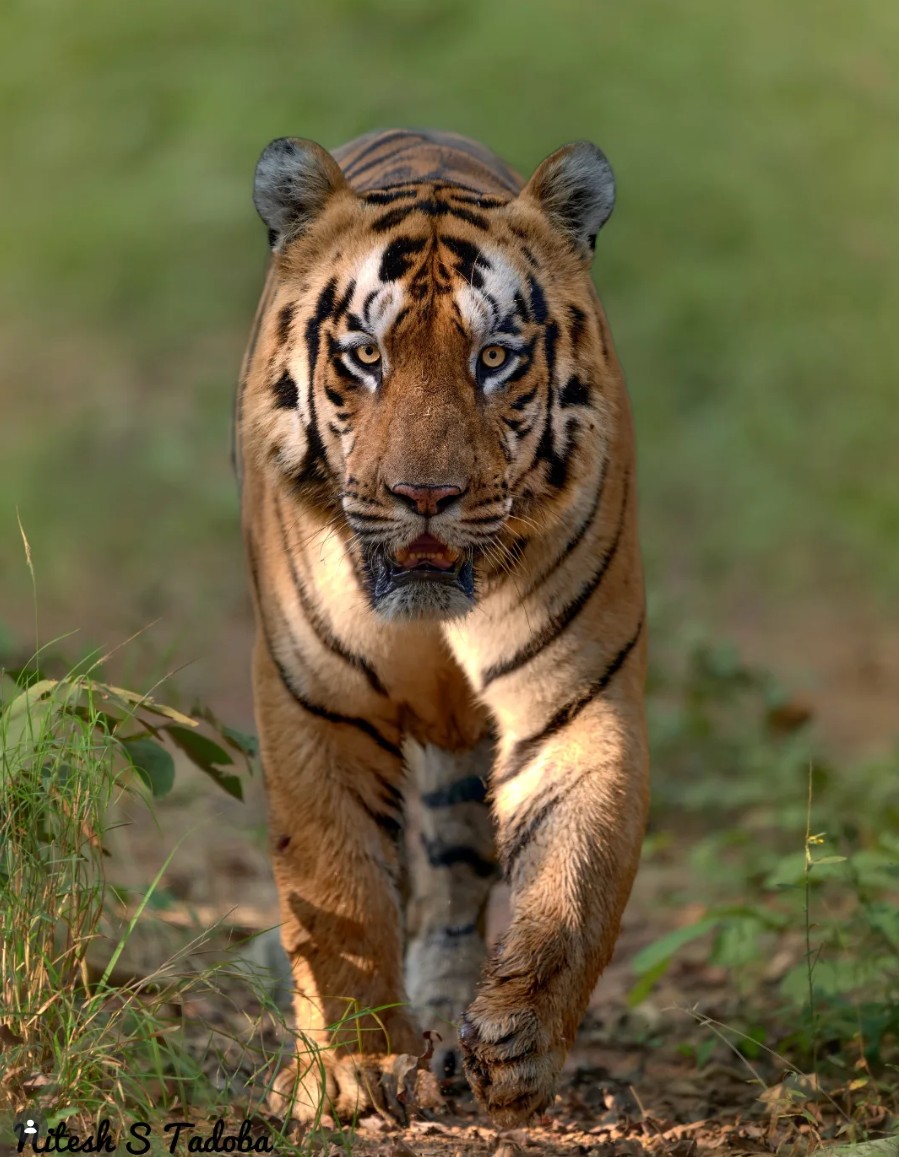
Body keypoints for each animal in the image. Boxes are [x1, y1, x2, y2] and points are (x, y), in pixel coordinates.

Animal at [235, 128, 649, 1127]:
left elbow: (575, 873)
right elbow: (337, 888)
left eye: (493, 356)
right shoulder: (317, 701)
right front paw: (344, 1069)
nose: (425, 496)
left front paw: (519, 1040)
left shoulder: (576, 695)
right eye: (364, 354)